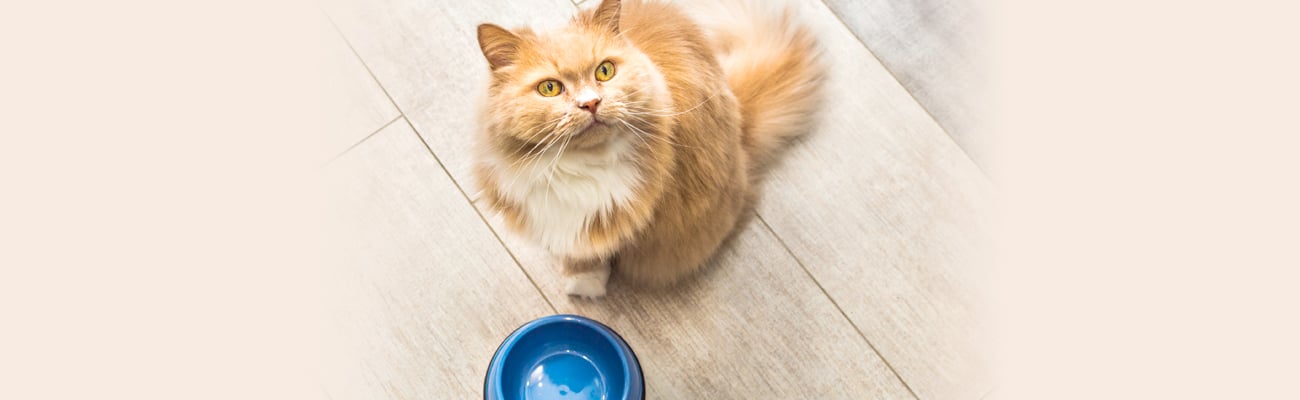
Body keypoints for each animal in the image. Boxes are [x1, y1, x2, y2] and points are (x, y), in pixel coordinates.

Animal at [475, 0, 821, 297]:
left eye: (604, 71)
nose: (591, 103)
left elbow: (593, 251)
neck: (580, 165)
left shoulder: (613, 220)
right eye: (550, 88)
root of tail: (740, 124)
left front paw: (584, 284)